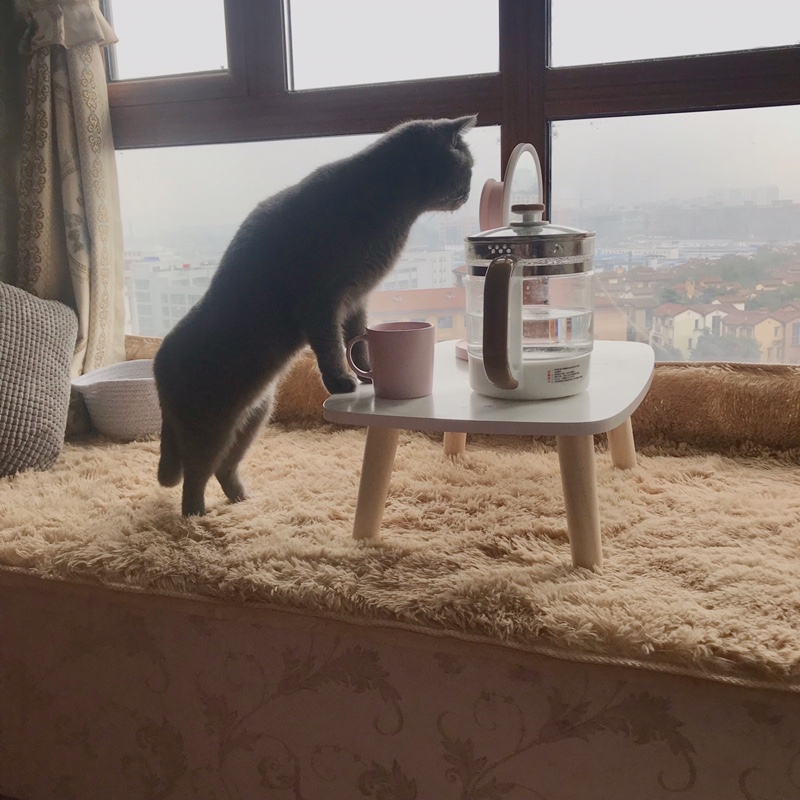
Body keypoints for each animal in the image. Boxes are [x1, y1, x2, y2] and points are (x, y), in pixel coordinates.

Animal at [153, 115, 476, 516]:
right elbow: (332, 346)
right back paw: (197, 516)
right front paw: (342, 381)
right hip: (209, 426)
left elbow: (359, 342)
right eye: (468, 166)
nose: (470, 190)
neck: (390, 202)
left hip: (255, 416)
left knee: (224, 468)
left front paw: (368, 374)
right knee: (195, 475)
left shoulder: (356, 299)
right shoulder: (322, 301)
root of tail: (156, 370)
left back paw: (244, 501)